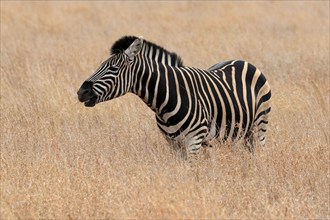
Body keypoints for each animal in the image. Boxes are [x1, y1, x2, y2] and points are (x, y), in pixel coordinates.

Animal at [77, 35, 270, 160]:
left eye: (113, 69)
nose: (81, 92)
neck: (165, 101)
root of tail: (243, 61)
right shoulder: (173, 143)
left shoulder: (195, 139)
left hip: (259, 126)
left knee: (259, 153)